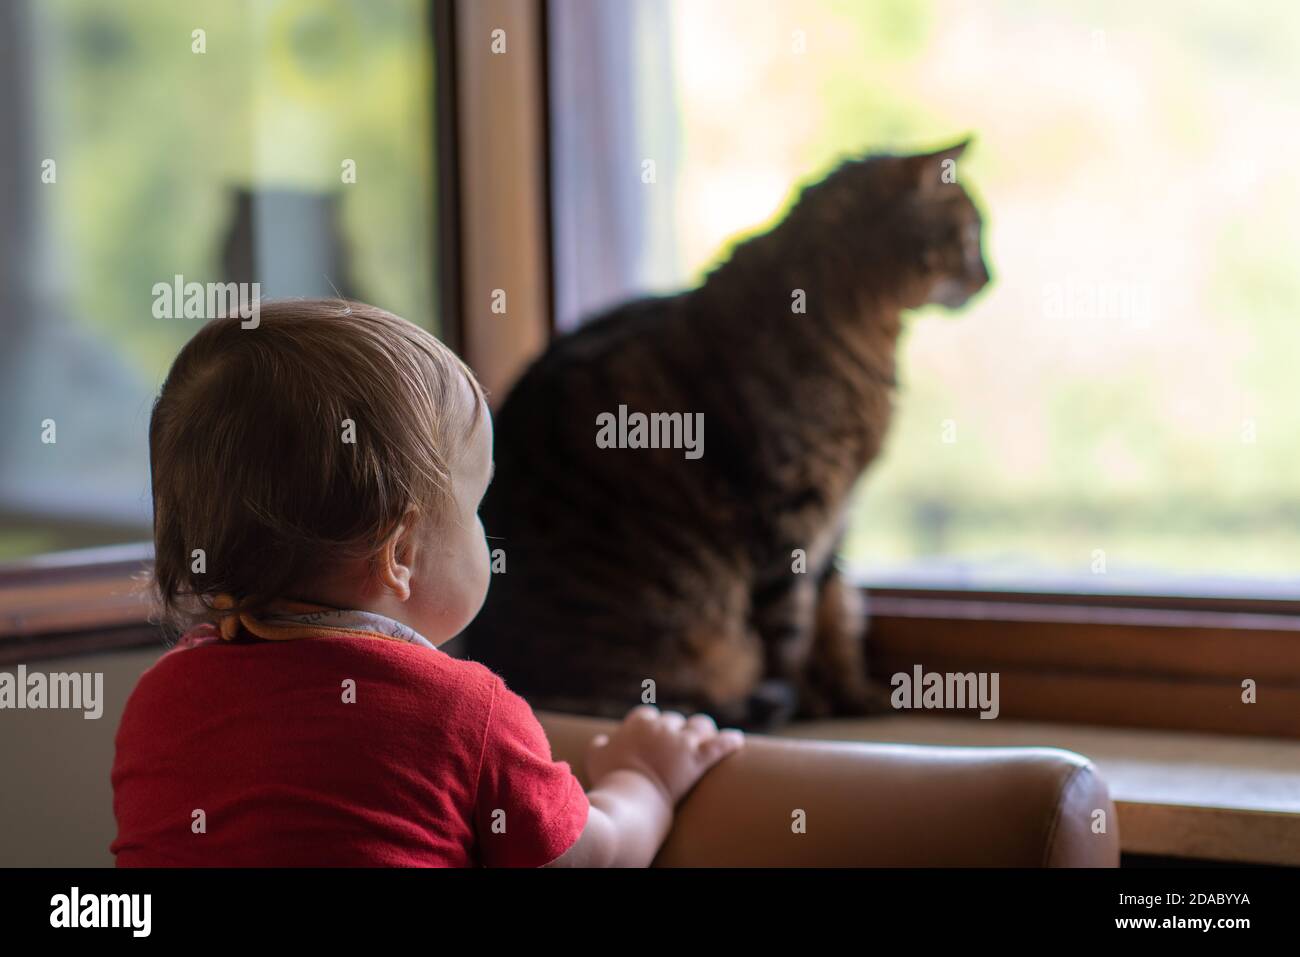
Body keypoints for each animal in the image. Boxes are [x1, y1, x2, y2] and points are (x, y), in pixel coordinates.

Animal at [462, 140, 987, 722]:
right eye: (970, 236)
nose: (990, 276)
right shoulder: (792, 512)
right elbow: (792, 632)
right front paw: (810, 701)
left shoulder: (837, 512)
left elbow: (831, 613)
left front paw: (852, 694)